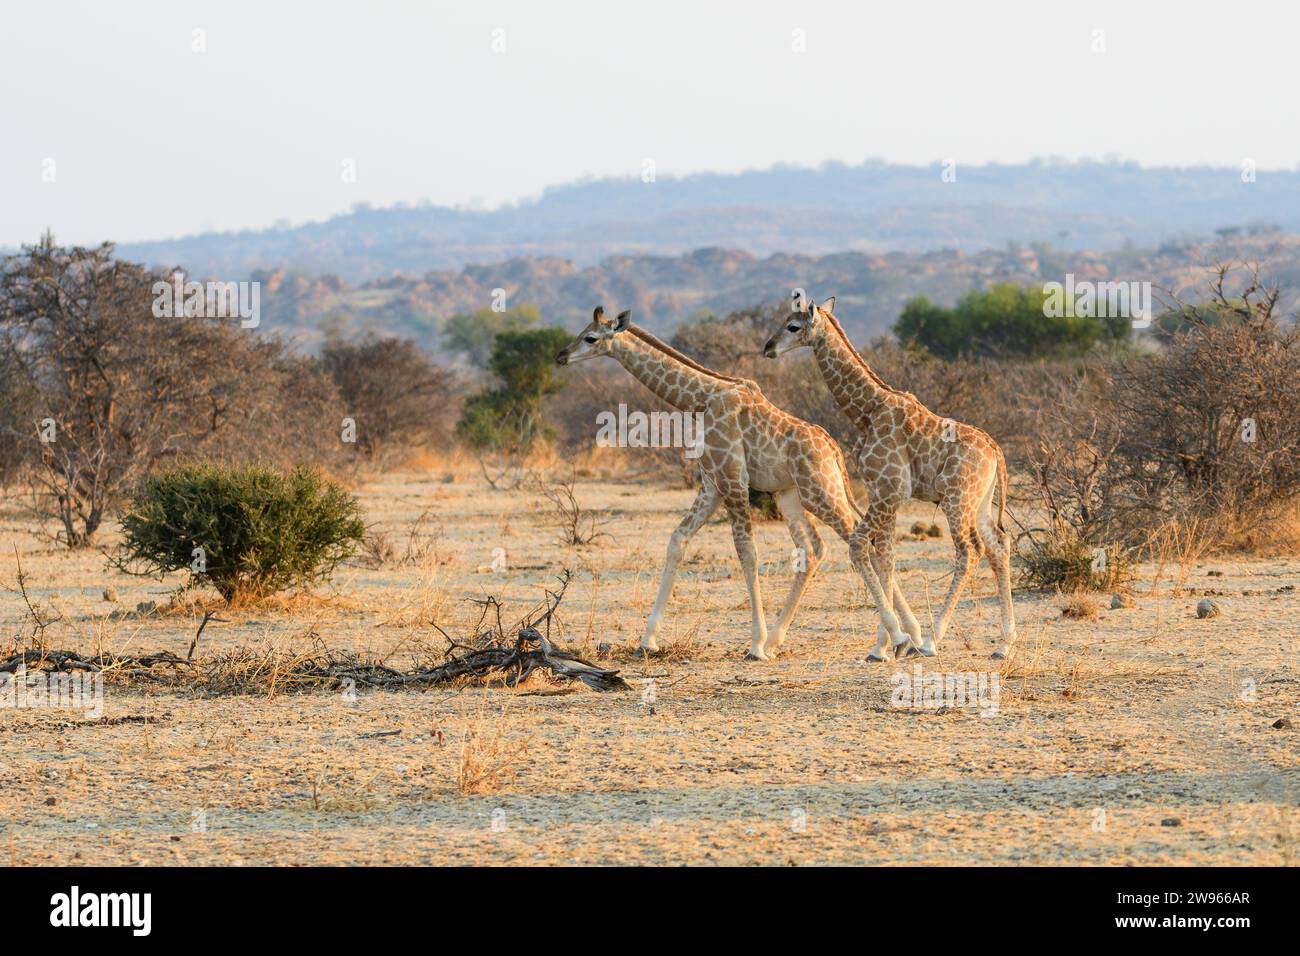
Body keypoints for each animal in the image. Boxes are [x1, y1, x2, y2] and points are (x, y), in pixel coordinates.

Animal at [556, 306, 920, 661]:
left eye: (590, 337)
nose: (561, 355)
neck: (702, 399)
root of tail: (834, 450)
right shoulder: (711, 485)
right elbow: (677, 541)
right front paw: (647, 641)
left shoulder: (732, 478)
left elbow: (748, 551)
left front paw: (755, 645)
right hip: (792, 495)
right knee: (815, 548)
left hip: (821, 492)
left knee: (860, 539)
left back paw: (899, 638)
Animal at [763, 297, 1016, 660]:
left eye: (793, 326)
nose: (768, 347)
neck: (868, 411)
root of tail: (996, 450)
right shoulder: (883, 493)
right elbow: (886, 556)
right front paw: (884, 645)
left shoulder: (889, 491)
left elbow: (860, 545)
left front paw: (898, 640)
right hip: (979, 502)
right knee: (998, 546)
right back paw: (1004, 644)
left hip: (957, 499)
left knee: (969, 551)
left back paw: (932, 640)